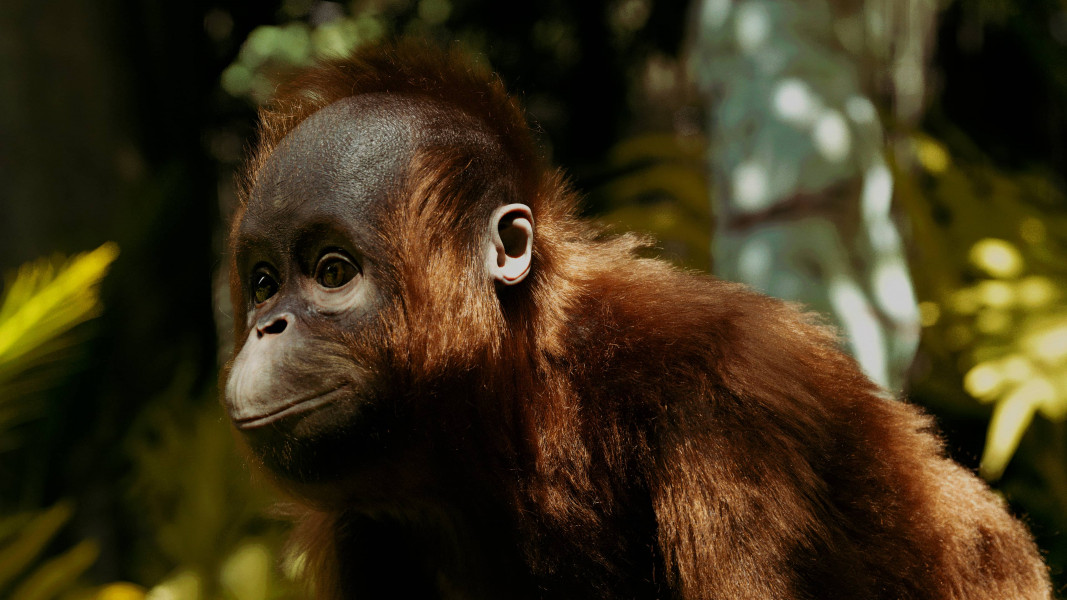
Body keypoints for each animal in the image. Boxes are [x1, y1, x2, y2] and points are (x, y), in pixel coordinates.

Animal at [222, 42, 1051, 599]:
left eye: (332, 272)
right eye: (263, 283)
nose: (269, 327)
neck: (520, 400)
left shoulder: (725, 414)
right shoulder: (361, 532)